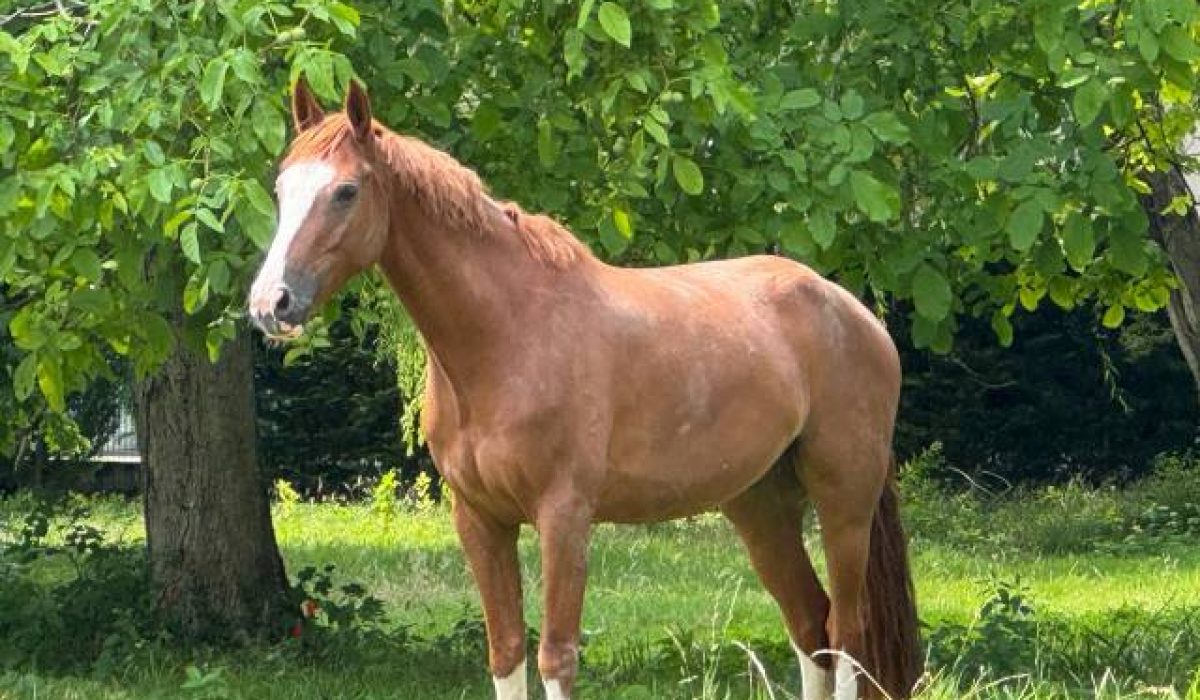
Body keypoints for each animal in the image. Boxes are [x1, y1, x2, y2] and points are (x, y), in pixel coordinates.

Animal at [247, 79, 920, 700]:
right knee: (811, 626)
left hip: (844, 505)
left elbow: (556, 658)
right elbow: (506, 651)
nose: (270, 303)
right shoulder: (479, 519)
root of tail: (854, 313)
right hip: (760, 504)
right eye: (280, 190)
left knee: (846, 633)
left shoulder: (564, 516)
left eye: (346, 191)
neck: (509, 336)